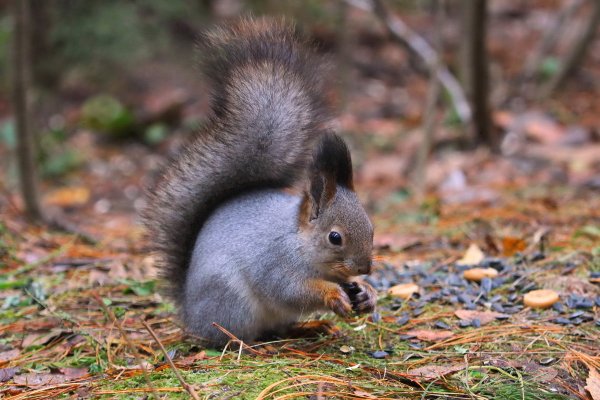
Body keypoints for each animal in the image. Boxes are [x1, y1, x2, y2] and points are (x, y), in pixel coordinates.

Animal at [144, 17, 376, 346]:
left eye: (371, 228)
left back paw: (308, 327)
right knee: (226, 335)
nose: (365, 267)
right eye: (335, 237)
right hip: (231, 301)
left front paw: (367, 293)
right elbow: (289, 290)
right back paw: (247, 344)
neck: (298, 239)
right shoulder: (274, 263)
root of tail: (189, 312)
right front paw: (333, 295)